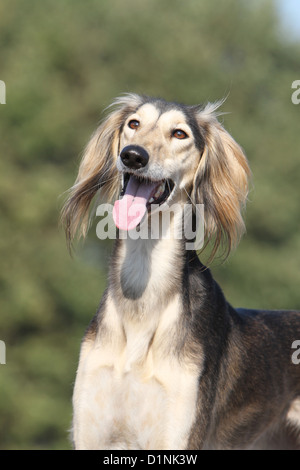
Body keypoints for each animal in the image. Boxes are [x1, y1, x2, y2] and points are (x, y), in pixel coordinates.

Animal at [61, 93, 300, 450]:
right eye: (134, 124)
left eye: (179, 134)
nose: (133, 156)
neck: (141, 301)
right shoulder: (92, 434)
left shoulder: (179, 434)